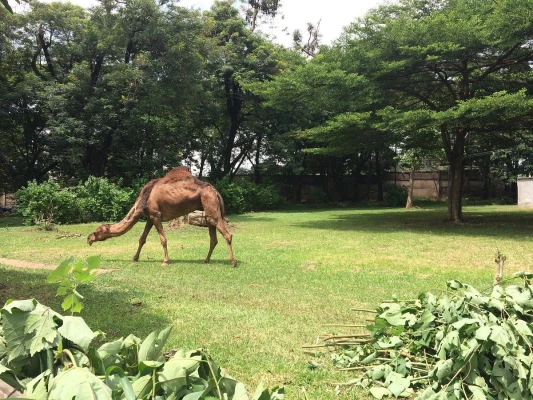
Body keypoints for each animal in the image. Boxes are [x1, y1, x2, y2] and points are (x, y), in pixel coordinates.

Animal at [87, 167, 235, 268]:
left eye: (97, 232)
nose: (88, 239)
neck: (143, 199)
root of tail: (215, 191)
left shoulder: (155, 215)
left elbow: (163, 239)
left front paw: (165, 261)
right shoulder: (149, 217)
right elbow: (142, 239)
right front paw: (134, 258)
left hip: (210, 204)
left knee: (227, 234)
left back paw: (233, 262)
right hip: (208, 210)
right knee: (213, 237)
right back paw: (206, 260)